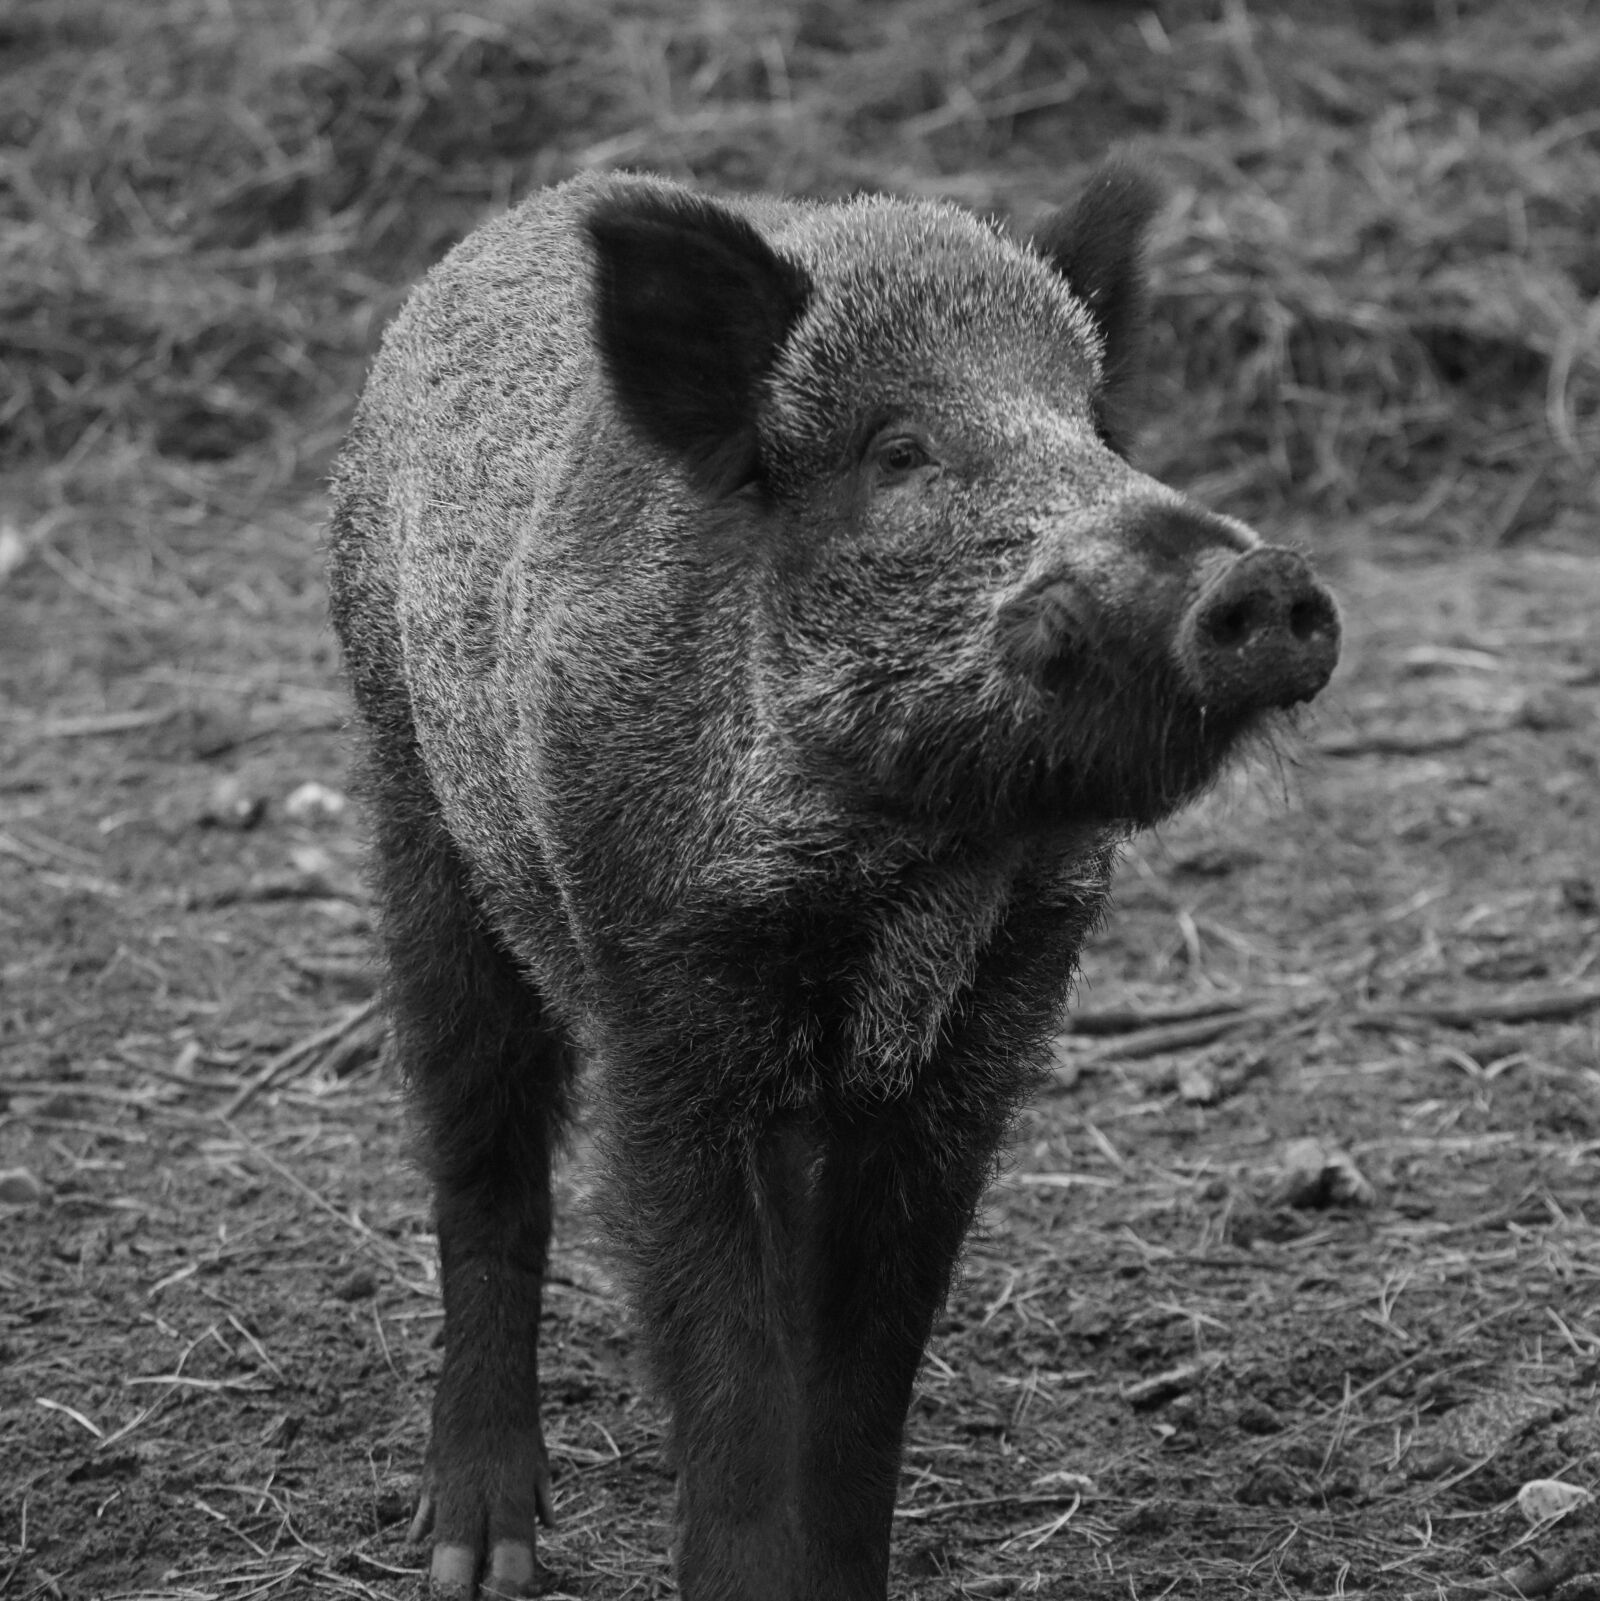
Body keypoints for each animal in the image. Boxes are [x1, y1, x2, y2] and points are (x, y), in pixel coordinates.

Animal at [326, 161, 1340, 1600]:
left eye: (1094, 426)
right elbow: (730, 1368)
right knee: (483, 1162)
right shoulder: (661, 1008)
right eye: (897, 451)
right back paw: (479, 1553)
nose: (1266, 575)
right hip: (417, 811)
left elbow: (860, 1383)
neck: (907, 870)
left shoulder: (984, 1036)